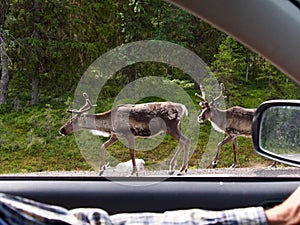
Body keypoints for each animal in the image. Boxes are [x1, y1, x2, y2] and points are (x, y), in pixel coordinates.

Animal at [59, 92, 191, 176]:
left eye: (72, 121)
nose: (61, 130)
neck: (109, 124)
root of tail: (182, 108)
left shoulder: (129, 134)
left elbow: (131, 152)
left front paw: (134, 172)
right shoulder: (116, 135)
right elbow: (102, 146)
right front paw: (101, 170)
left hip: (171, 127)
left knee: (185, 140)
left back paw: (179, 169)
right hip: (173, 128)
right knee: (185, 140)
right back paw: (181, 168)